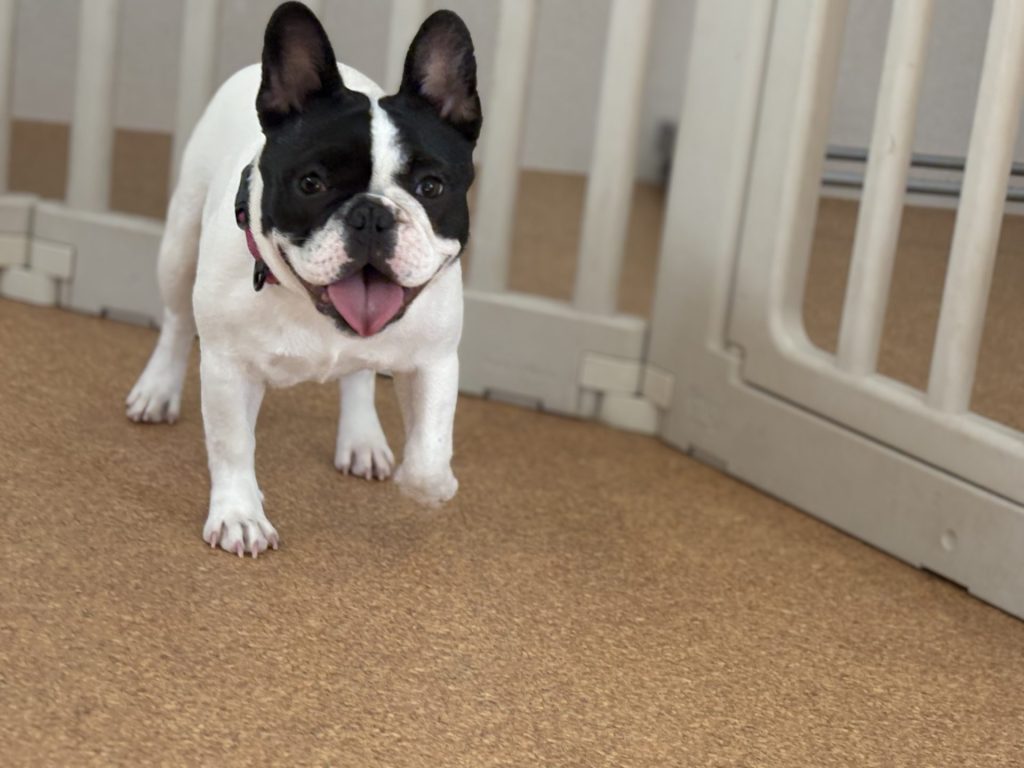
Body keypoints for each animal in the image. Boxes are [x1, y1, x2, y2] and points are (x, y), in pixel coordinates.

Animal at [125, 2, 481, 557]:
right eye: (311, 183)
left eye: (431, 187)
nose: (371, 215)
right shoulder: (228, 367)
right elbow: (232, 442)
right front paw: (240, 514)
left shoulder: (434, 360)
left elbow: (428, 448)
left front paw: (434, 483)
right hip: (179, 247)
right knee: (178, 321)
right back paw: (157, 389)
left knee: (359, 374)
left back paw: (362, 438)